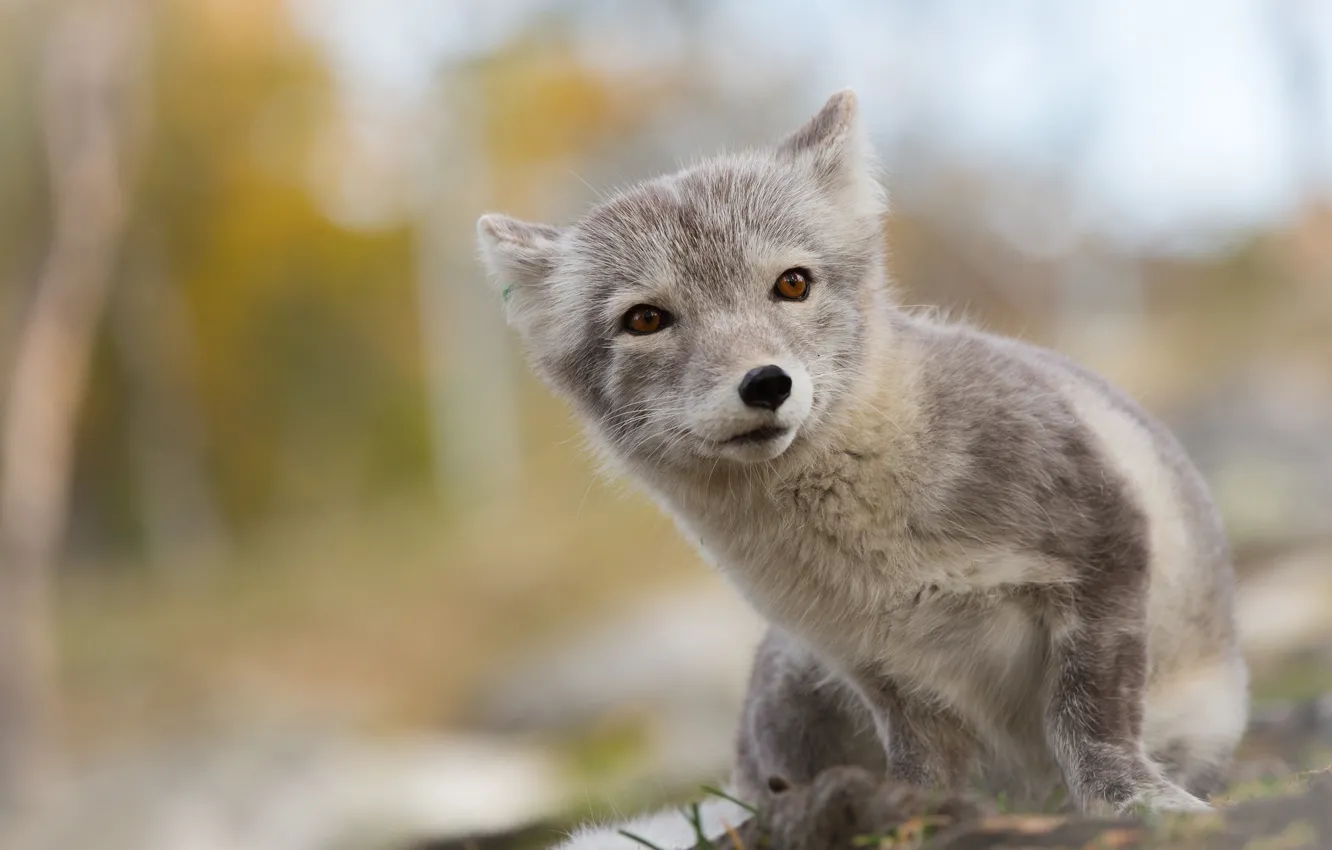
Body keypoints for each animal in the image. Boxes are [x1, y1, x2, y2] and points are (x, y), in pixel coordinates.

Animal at [479, 89, 1246, 847]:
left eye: (792, 284)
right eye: (645, 319)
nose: (766, 384)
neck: (875, 546)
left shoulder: (1104, 549)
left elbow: (1088, 719)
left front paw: (1135, 801)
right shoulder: (878, 665)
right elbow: (921, 771)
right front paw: (910, 818)